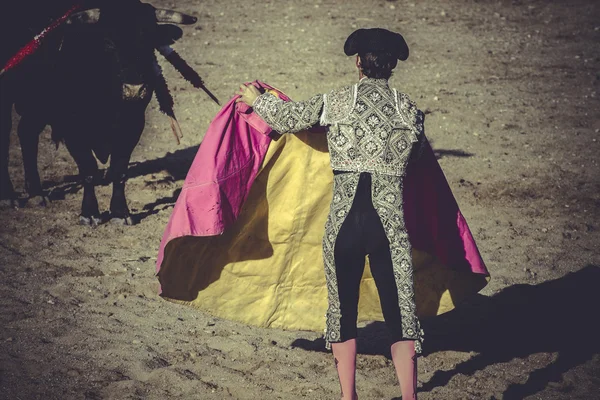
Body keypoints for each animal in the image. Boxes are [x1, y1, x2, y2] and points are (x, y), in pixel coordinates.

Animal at [0, 0, 197, 225]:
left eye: (148, 41)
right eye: (108, 43)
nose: (134, 90)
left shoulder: (133, 123)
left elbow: (119, 169)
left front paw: (120, 212)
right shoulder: (72, 126)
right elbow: (88, 169)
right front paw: (90, 213)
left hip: (39, 104)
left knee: (27, 132)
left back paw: (36, 193)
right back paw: (8, 196)